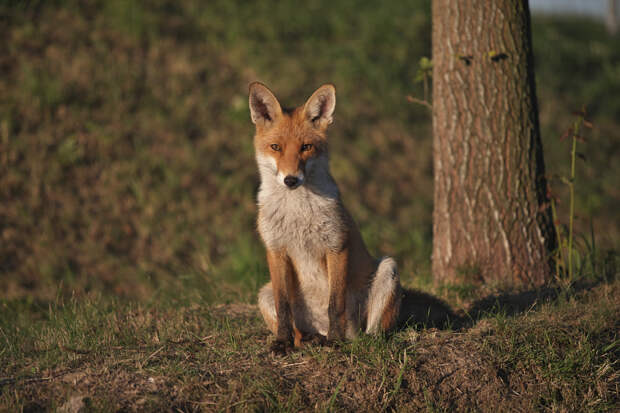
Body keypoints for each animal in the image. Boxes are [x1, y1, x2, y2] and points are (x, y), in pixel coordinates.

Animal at [251, 82, 402, 352]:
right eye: (276, 147)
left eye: (306, 147)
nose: (291, 180)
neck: (297, 215)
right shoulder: (276, 249)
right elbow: (283, 306)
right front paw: (282, 342)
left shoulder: (336, 246)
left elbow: (335, 303)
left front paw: (334, 341)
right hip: (263, 294)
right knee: (298, 327)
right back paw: (306, 339)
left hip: (388, 268)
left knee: (371, 333)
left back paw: (350, 340)